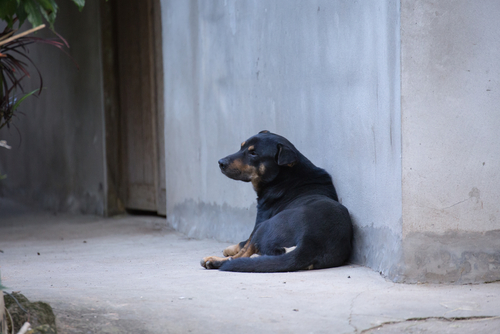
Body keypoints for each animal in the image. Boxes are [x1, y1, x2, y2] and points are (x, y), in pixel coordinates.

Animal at [199, 130, 352, 272]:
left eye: (253, 153)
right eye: (241, 146)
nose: (220, 162)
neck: (285, 177)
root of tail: (310, 243)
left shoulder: (259, 221)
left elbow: (244, 244)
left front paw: (228, 250)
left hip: (264, 227)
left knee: (241, 256)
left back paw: (213, 260)